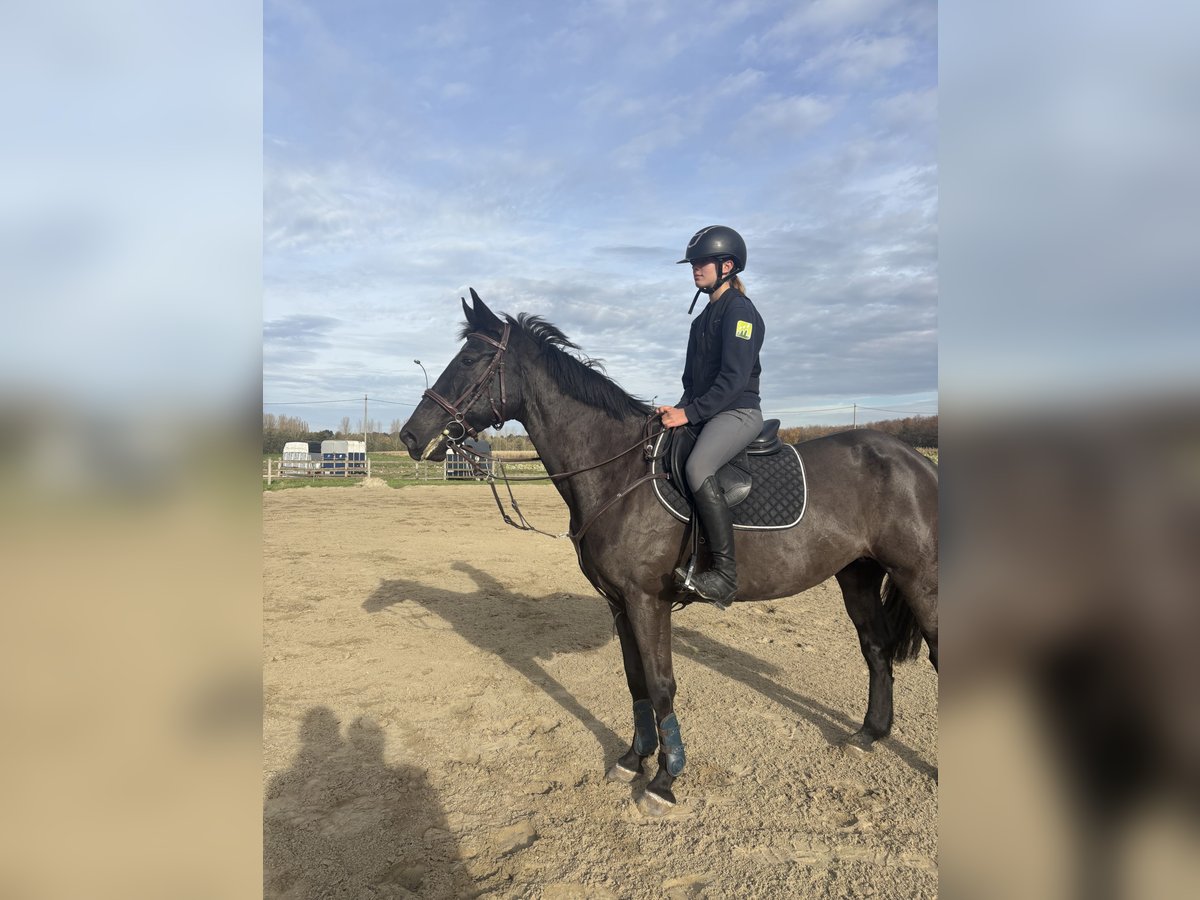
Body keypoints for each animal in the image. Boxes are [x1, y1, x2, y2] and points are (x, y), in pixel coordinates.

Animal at [400, 289, 938, 816]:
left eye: (470, 359)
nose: (410, 435)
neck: (617, 472)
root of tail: (917, 461)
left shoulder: (646, 600)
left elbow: (661, 684)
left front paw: (665, 778)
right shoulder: (619, 603)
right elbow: (636, 681)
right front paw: (633, 758)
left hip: (919, 579)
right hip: (858, 575)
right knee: (875, 648)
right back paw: (869, 734)